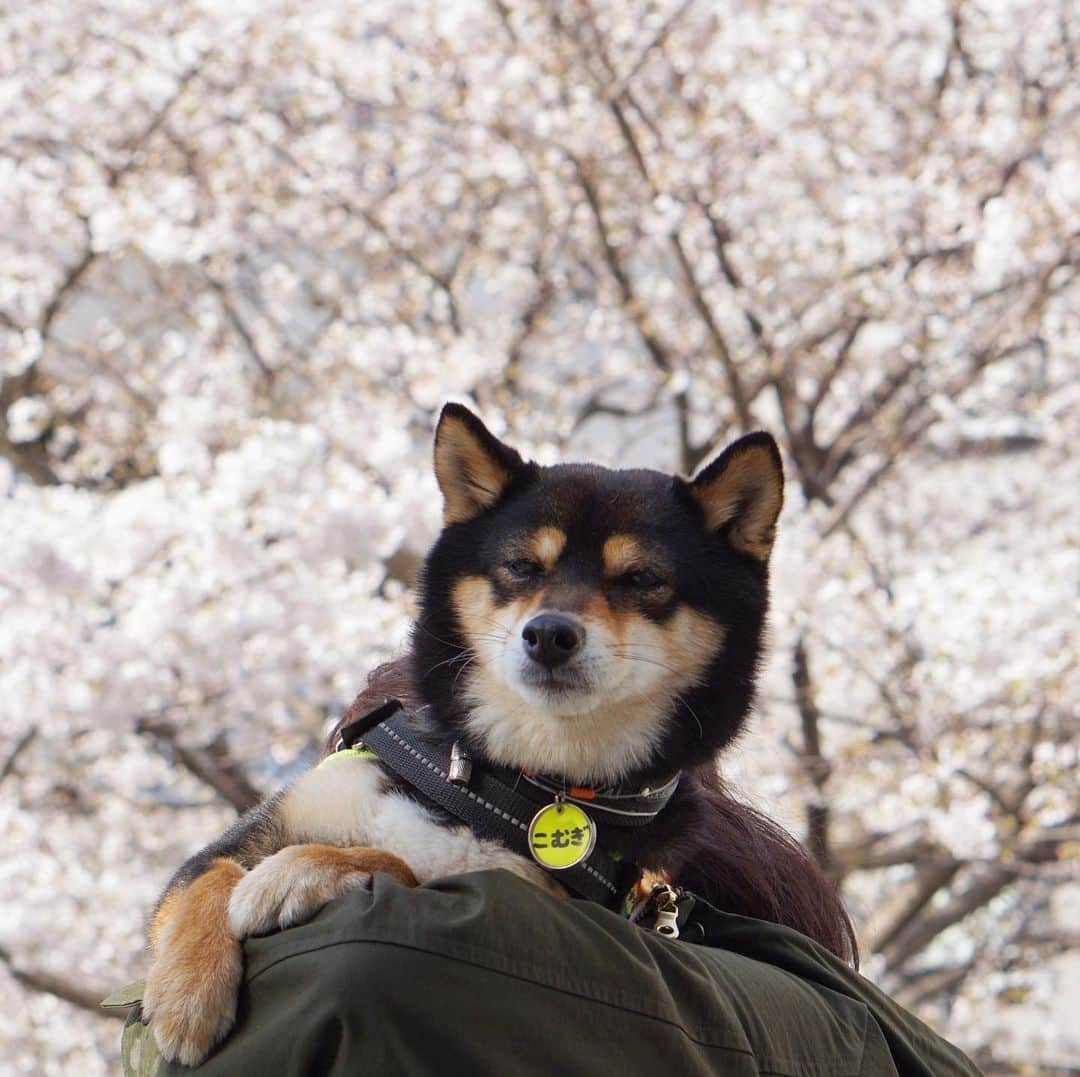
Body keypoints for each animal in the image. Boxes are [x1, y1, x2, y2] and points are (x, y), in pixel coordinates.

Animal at [143, 399, 851, 1062]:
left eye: (642, 578)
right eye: (521, 566)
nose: (550, 634)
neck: (490, 778)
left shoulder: (533, 903)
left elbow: (398, 862)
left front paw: (299, 873)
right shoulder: (272, 823)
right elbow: (208, 877)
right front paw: (185, 993)